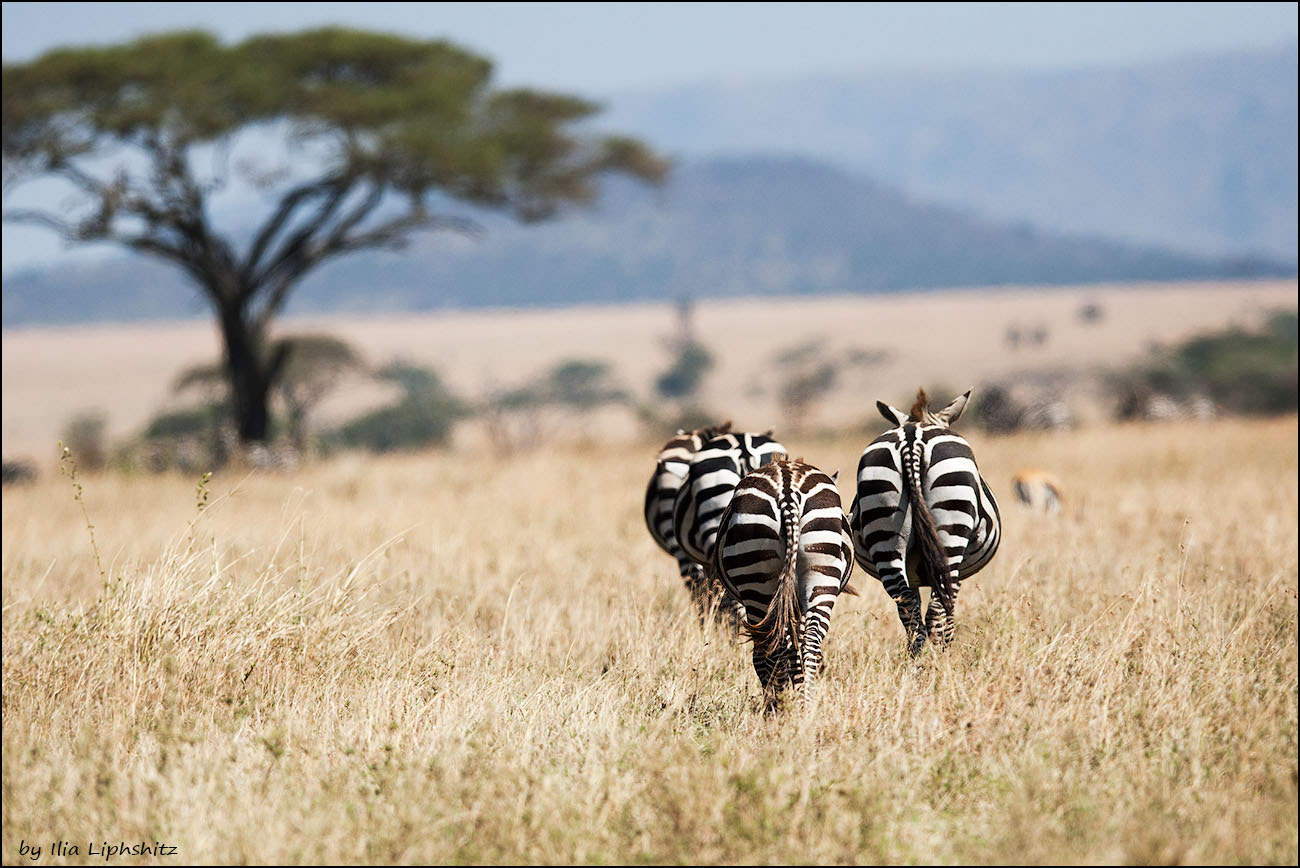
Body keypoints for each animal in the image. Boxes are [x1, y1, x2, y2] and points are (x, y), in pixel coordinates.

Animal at [712, 457, 852, 706]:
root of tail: (788, 491)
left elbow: (764, 655)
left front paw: (776, 696)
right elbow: (795, 647)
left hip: (757, 583)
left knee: (772, 647)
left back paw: (779, 704)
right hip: (821, 572)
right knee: (810, 641)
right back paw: (805, 704)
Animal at [847, 389, 998, 654]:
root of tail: (912, 440)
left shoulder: (913, 574)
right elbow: (949, 612)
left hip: (884, 528)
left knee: (908, 608)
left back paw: (915, 660)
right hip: (951, 531)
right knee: (936, 611)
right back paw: (940, 660)